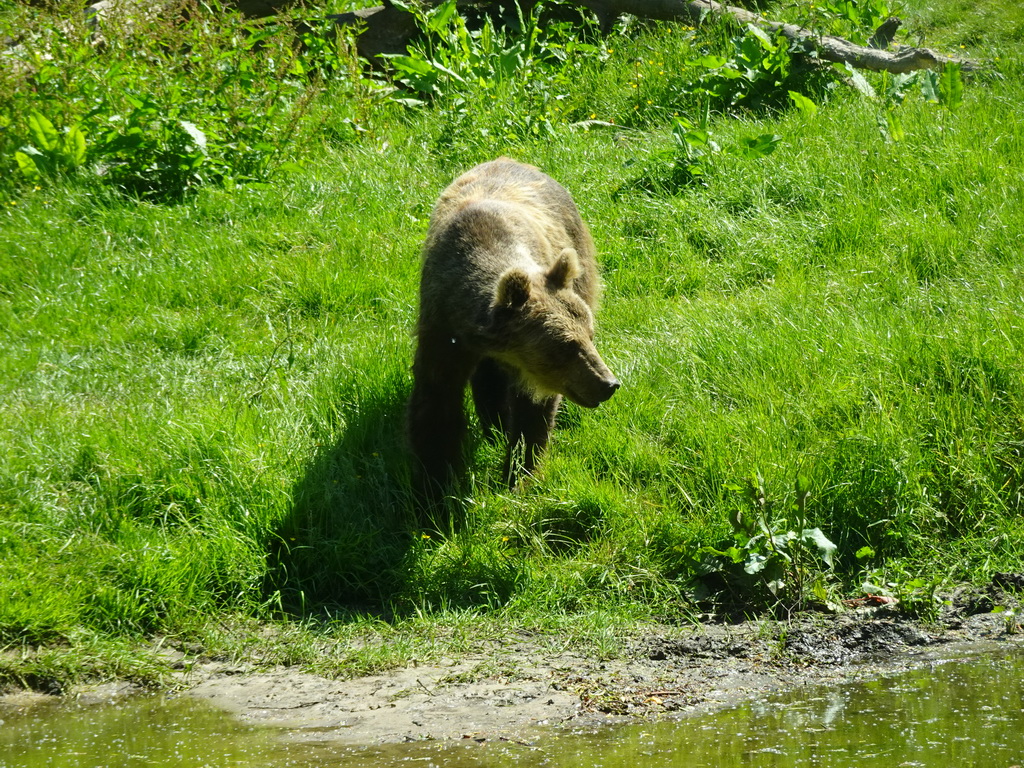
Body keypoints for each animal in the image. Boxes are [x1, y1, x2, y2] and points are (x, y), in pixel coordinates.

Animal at [405, 157, 614, 493]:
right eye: (564, 346)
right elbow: (436, 403)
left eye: (590, 336)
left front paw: (519, 475)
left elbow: (533, 411)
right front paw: (434, 484)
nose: (607, 383)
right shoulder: (443, 325)